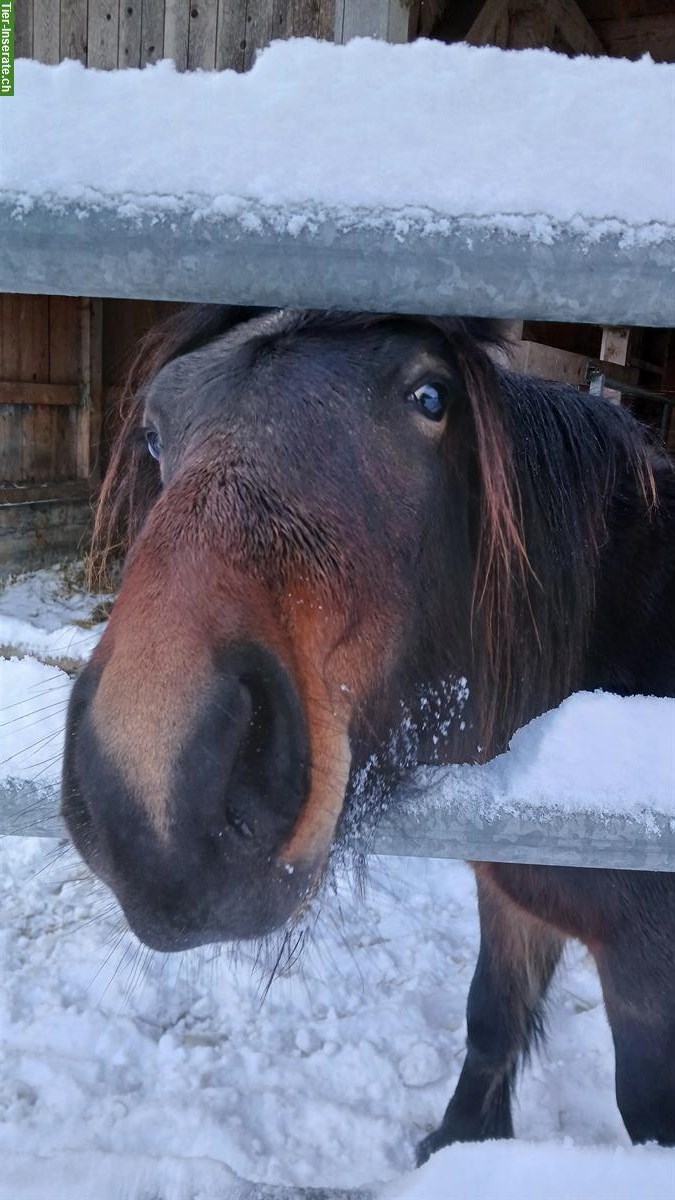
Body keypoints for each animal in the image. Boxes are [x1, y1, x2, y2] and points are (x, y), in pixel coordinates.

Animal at [60, 304, 667, 1156]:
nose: (151, 794)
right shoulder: (512, 899)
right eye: (153, 433)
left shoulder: (647, 973)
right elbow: (491, 1016)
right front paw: (458, 1146)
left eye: (430, 397)